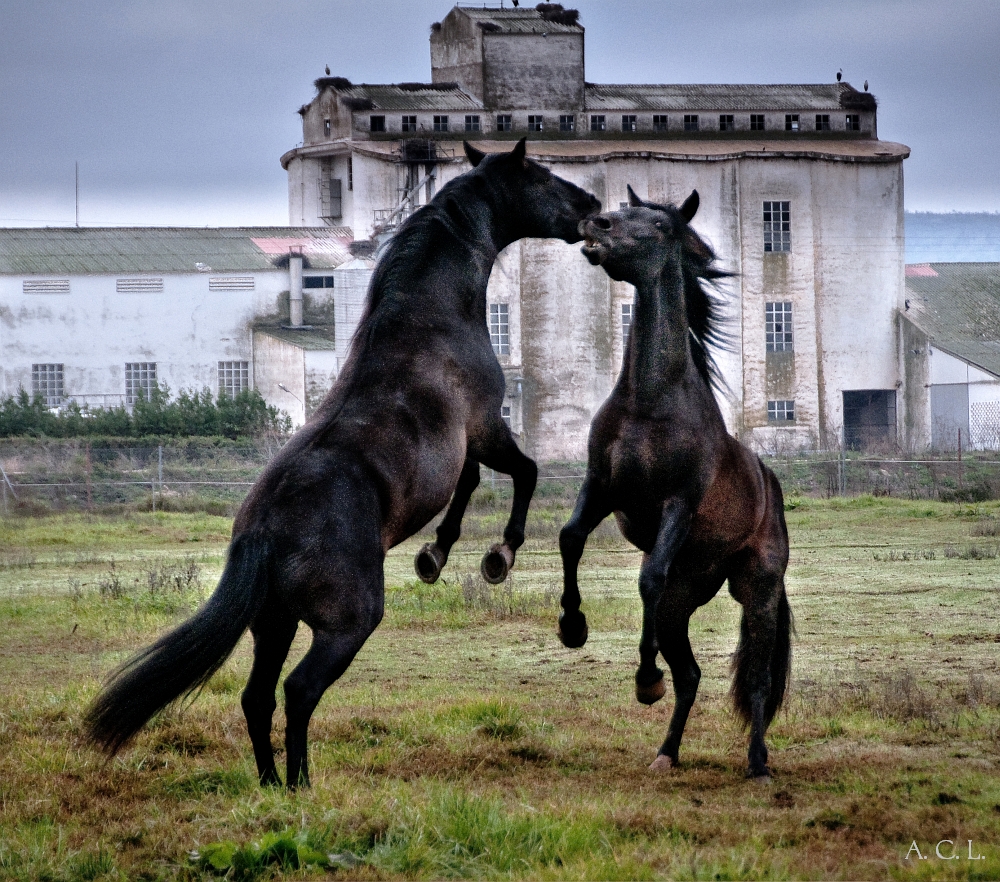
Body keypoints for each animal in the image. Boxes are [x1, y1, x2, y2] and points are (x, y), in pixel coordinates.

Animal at [86, 141, 596, 788]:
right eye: (540, 176)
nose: (592, 206)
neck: (430, 317)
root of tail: (262, 531)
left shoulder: (465, 447)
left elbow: (469, 487)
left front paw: (435, 554)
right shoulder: (487, 427)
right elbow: (524, 473)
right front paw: (496, 557)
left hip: (273, 625)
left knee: (258, 697)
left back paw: (272, 786)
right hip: (346, 624)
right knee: (299, 691)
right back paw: (301, 783)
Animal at [564, 186, 788, 776]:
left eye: (662, 226)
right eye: (625, 209)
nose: (594, 225)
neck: (649, 403)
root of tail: (771, 487)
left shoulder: (677, 505)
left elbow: (648, 577)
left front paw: (645, 680)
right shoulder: (600, 487)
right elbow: (570, 538)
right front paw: (572, 627)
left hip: (756, 591)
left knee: (758, 682)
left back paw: (758, 763)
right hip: (683, 601)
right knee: (690, 676)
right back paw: (666, 754)